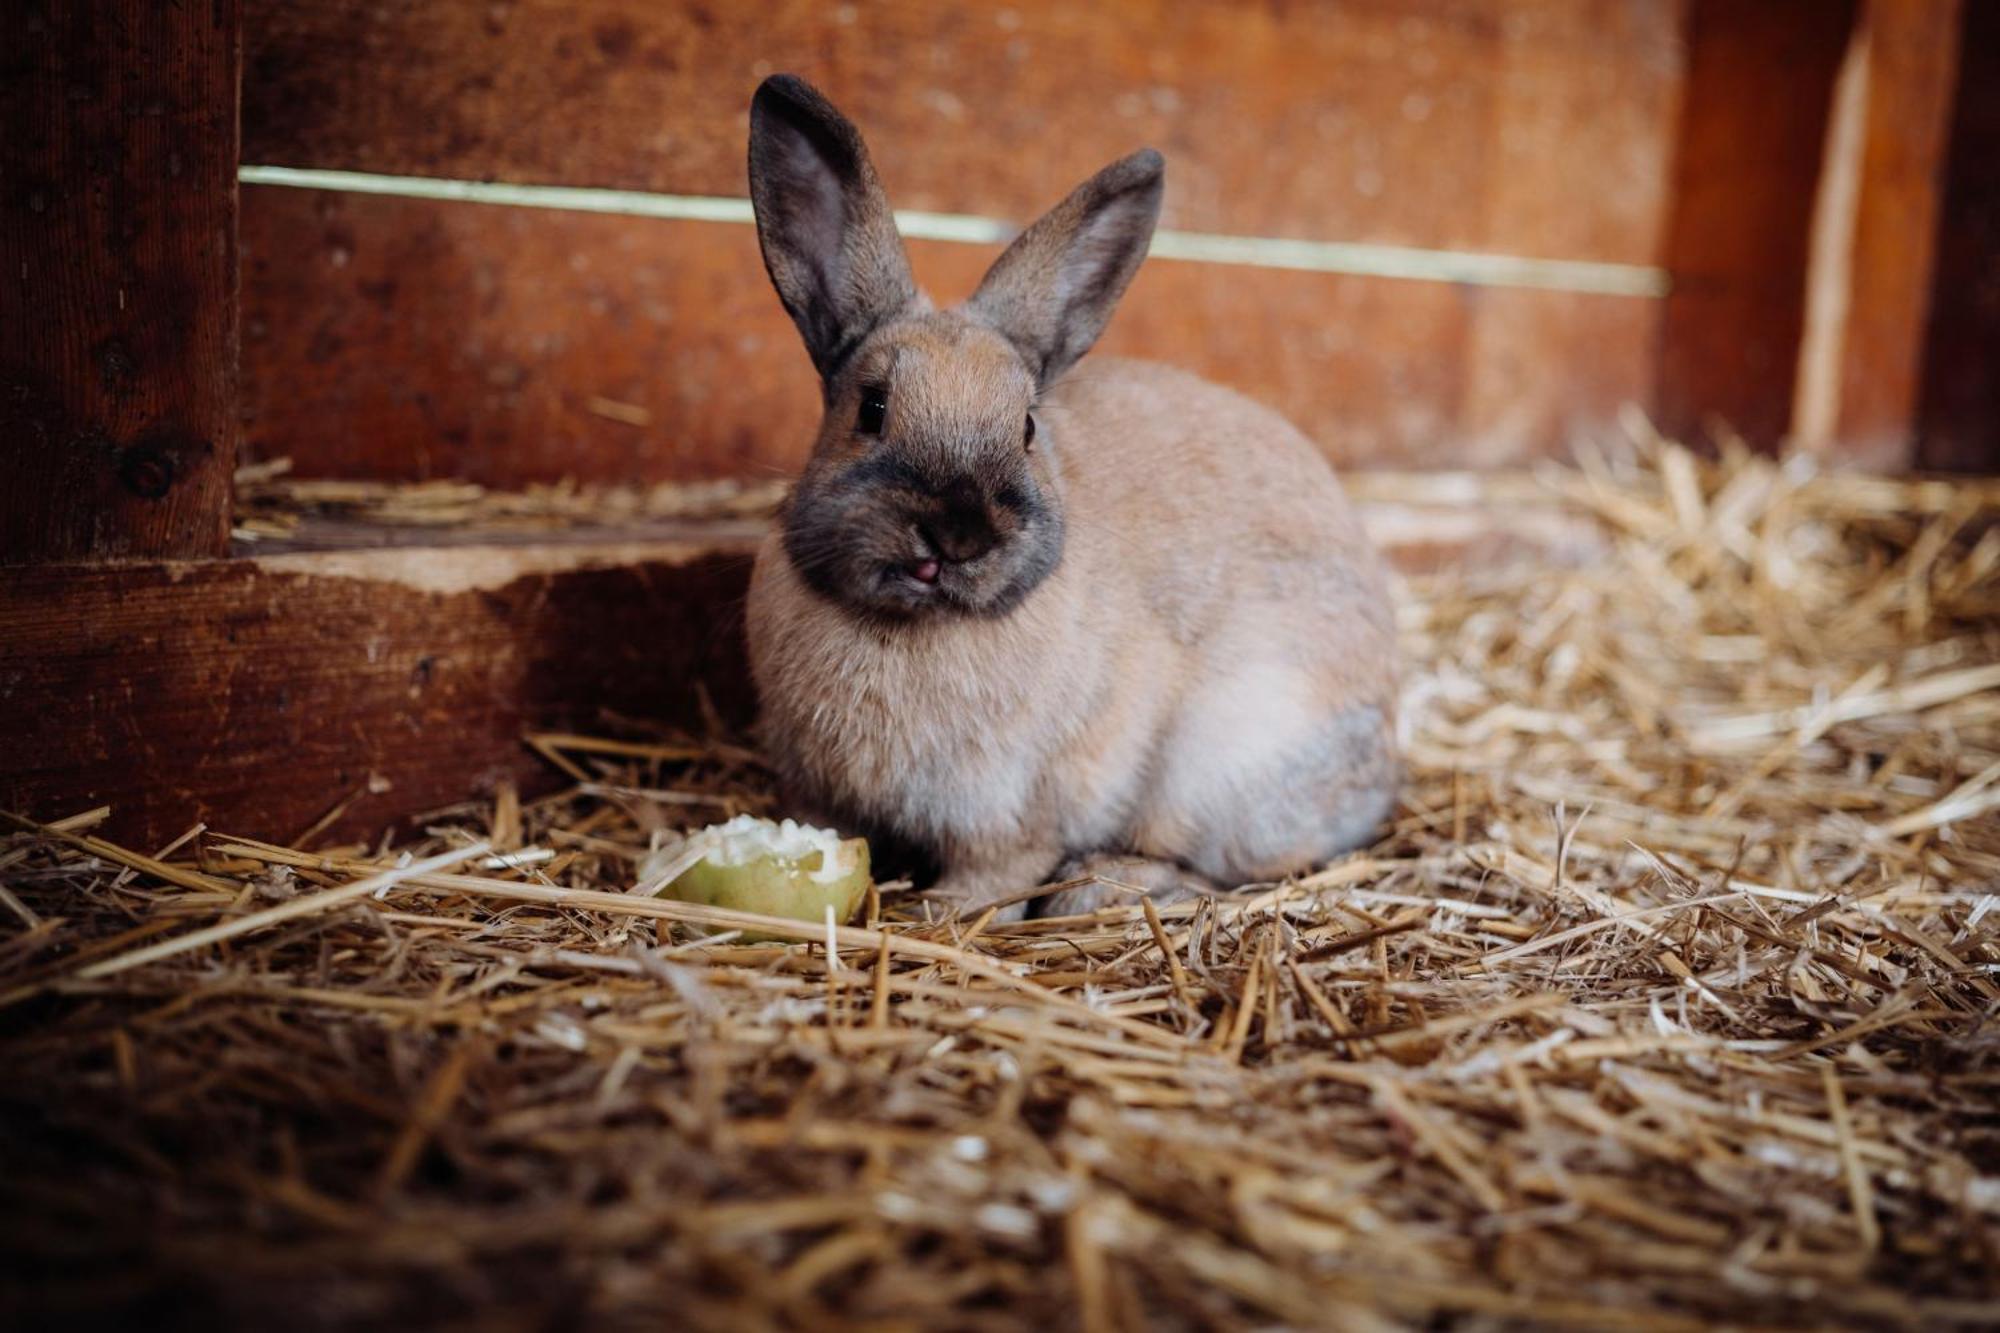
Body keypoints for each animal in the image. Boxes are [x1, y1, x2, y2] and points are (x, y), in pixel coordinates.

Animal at [744, 78, 1400, 920]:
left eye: (1027, 426)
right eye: (872, 408)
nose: (957, 535)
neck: (920, 627)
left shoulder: (1017, 811)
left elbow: (996, 873)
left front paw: (941, 912)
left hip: (1222, 761)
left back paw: (1102, 888)